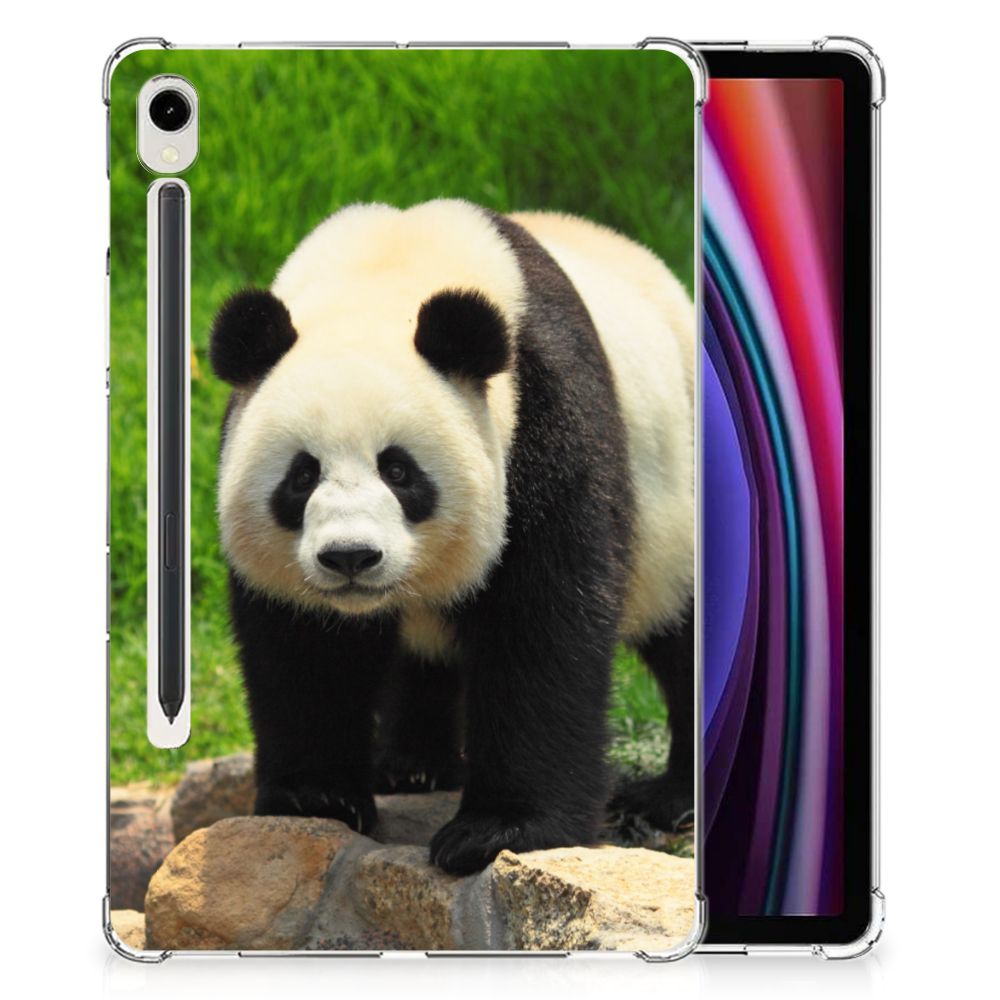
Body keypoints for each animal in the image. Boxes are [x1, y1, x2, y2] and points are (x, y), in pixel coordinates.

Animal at [209, 199, 695, 875]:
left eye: (399, 470)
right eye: (302, 476)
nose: (351, 557)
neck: (386, 270)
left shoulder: (544, 417)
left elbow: (541, 623)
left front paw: (498, 831)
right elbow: (304, 645)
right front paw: (316, 798)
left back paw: (669, 799)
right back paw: (413, 767)